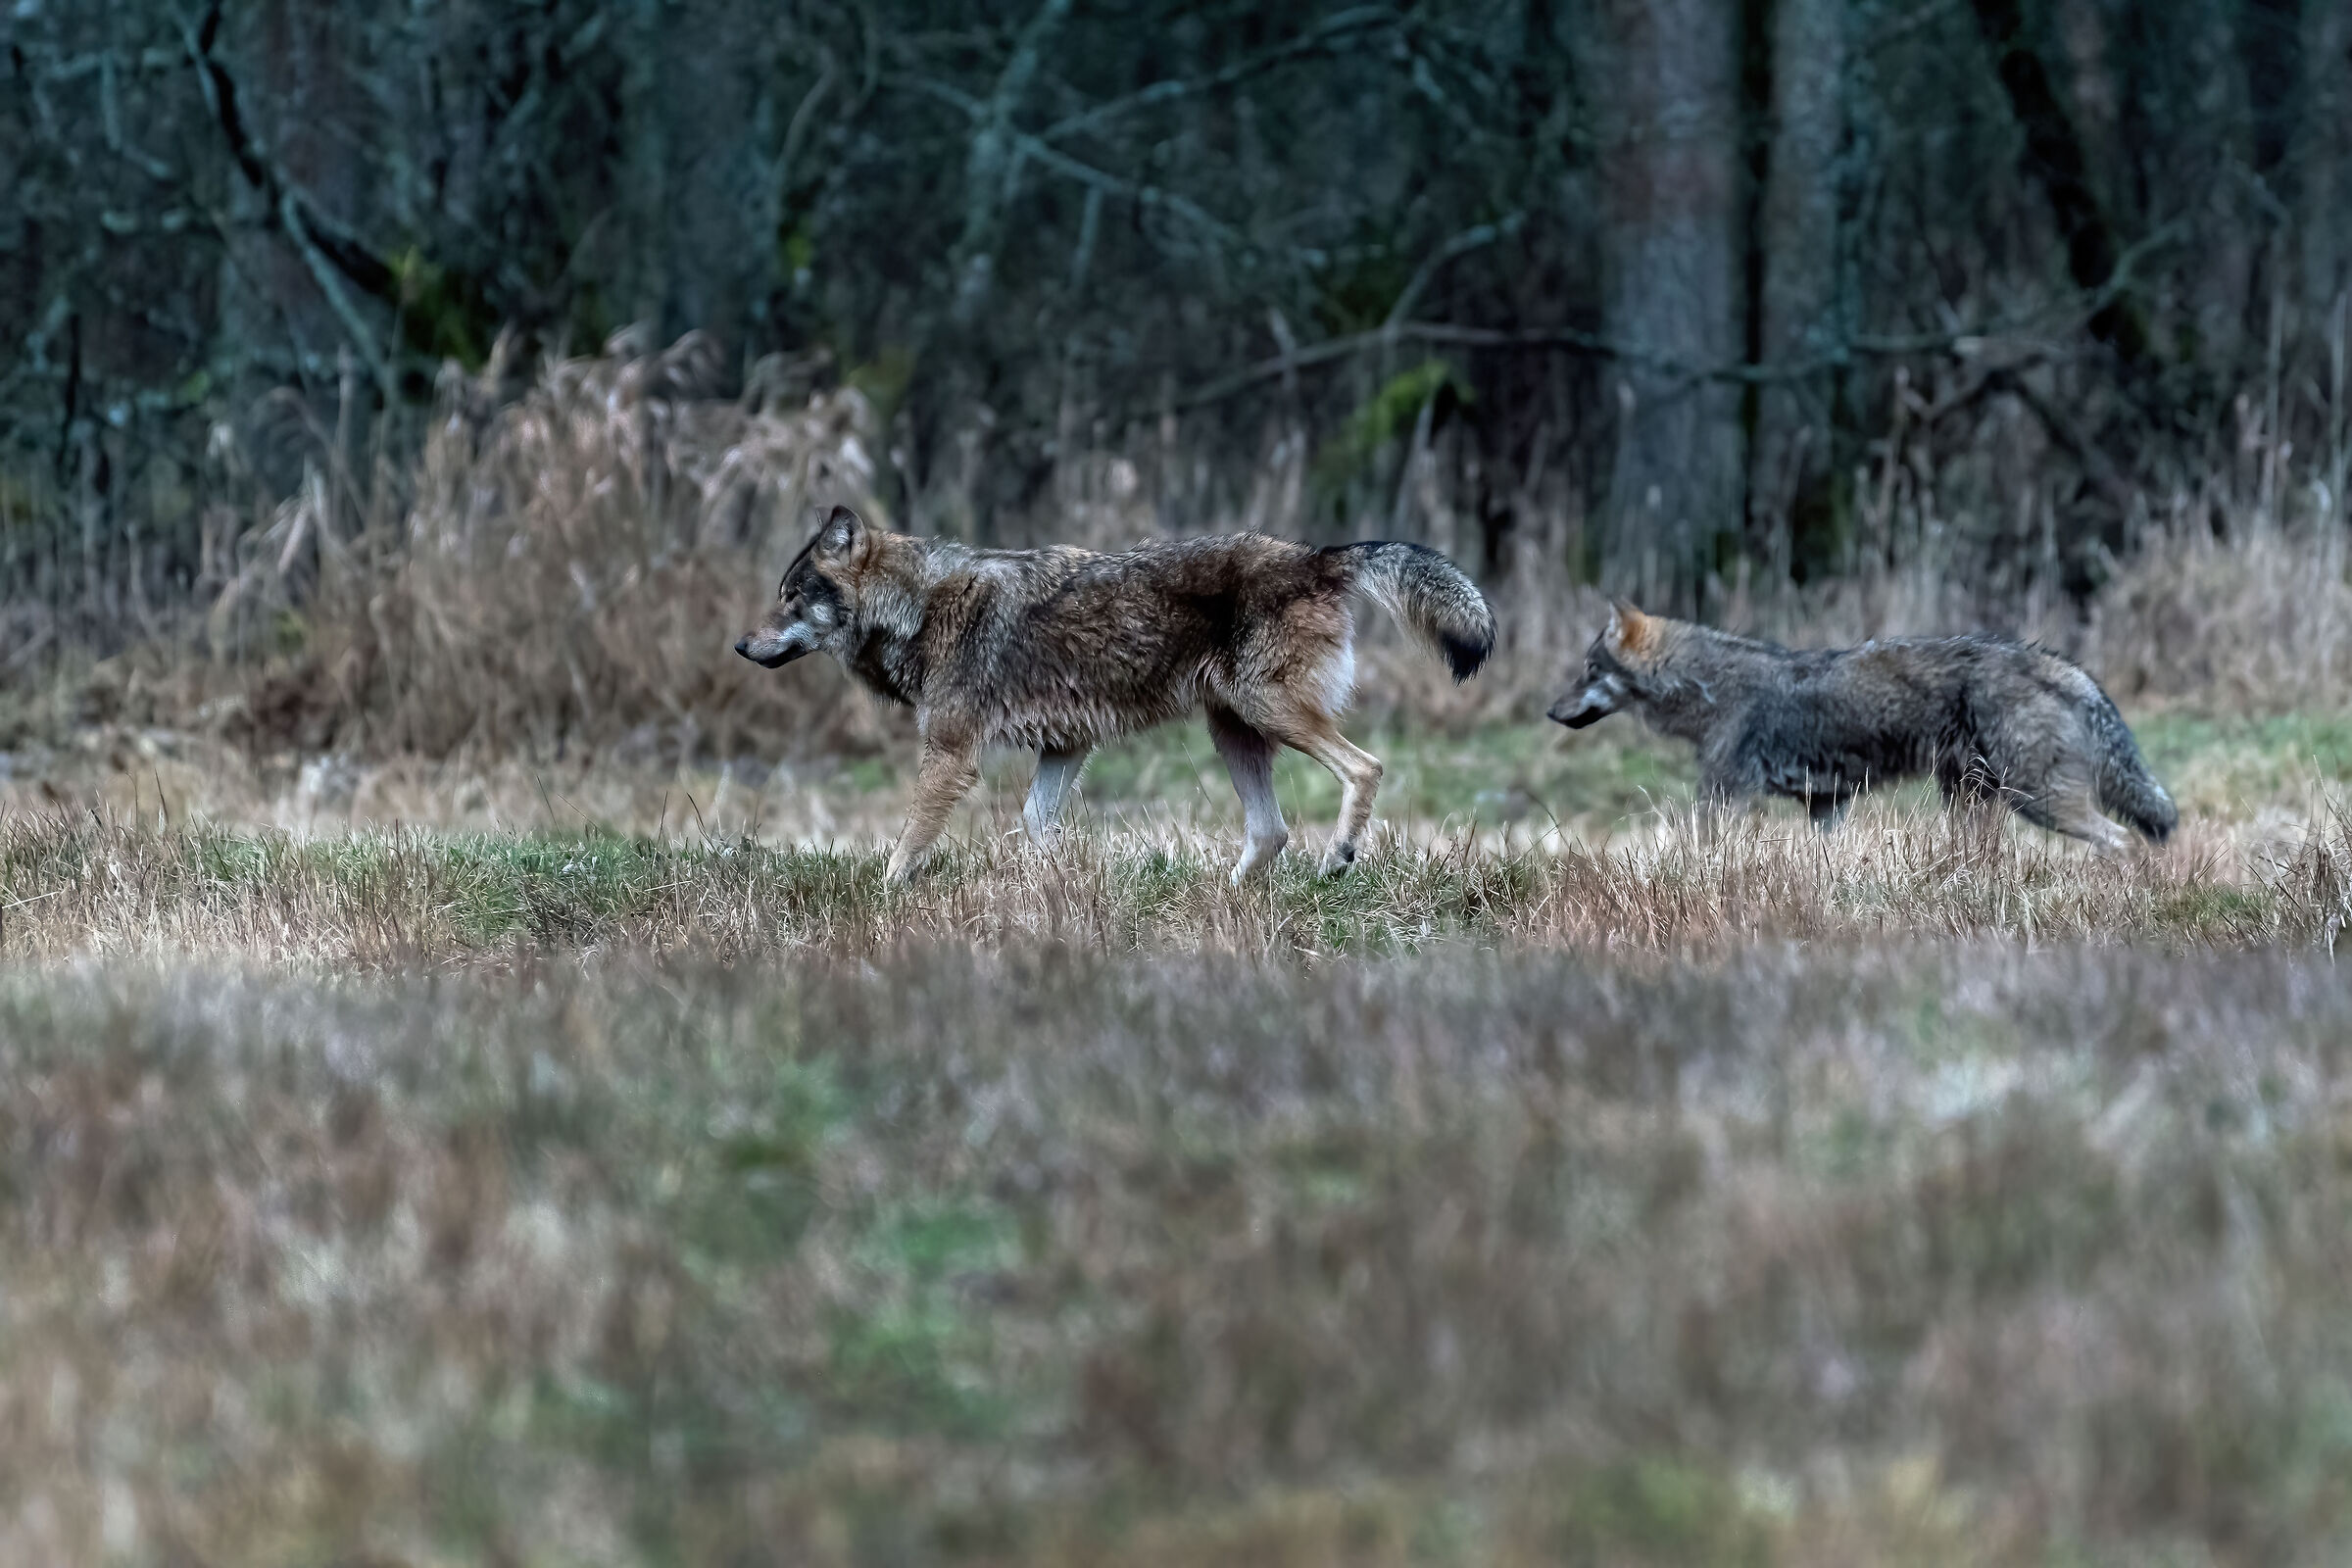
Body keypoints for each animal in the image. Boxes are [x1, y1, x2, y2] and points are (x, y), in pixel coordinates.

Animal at [736, 506, 1496, 882]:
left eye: (793, 597)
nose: (742, 645)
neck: (917, 607)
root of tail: (1318, 556)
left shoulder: (950, 753)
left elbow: (906, 847)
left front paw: (886, 898)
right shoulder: (1066, 746)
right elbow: (1036, 827)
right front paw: (1051, 899)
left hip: (1268, 712)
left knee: (1365, 768)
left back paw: (1336, 860)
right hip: (1232, 729)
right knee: (1272, 831)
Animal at [1547, 602, 2176, 848]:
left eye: (1588, 671)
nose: (1550, 711)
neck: (1709, 686)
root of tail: (2057, 662)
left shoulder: (1724, 795)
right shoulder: (1826, 804)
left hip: (2036, 800)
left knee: (2122, 841)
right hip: (1972, 799)